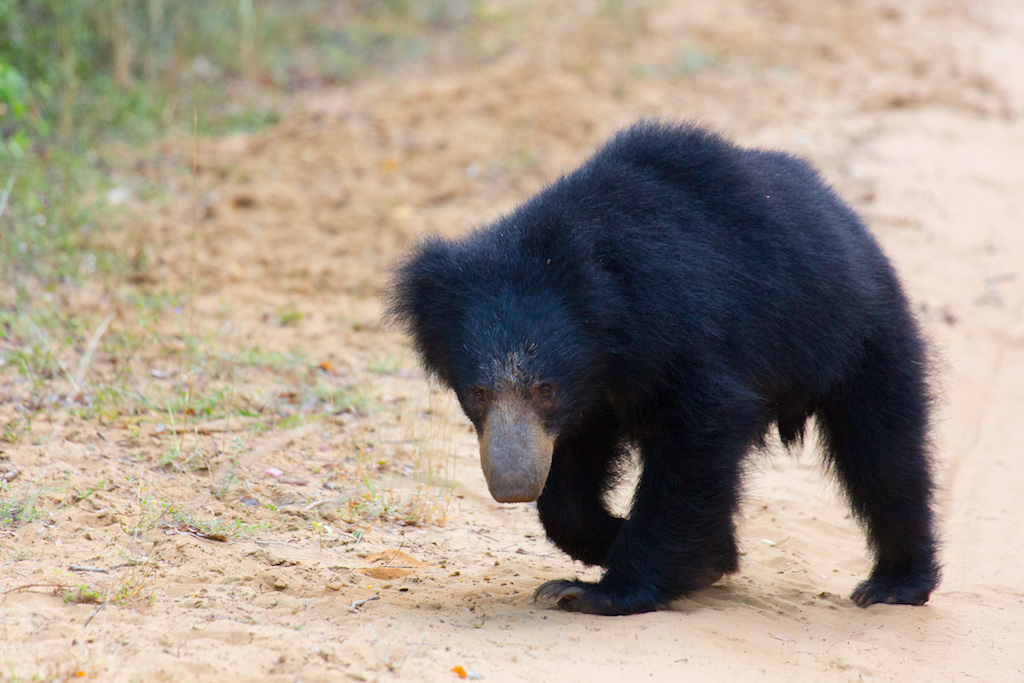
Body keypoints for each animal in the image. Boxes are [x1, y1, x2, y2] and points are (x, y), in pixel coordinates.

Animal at [386, 120, 940, 616]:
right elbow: (568, 489)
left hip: (861, 340)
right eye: (477, 392)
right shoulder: (592, 397)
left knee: (883, 455)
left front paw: (604, 590)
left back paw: (895, 584)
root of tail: (849, 222)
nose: (513, 485)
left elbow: (701, 436)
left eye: (545, 389)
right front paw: (635, 542)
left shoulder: (688, 330)